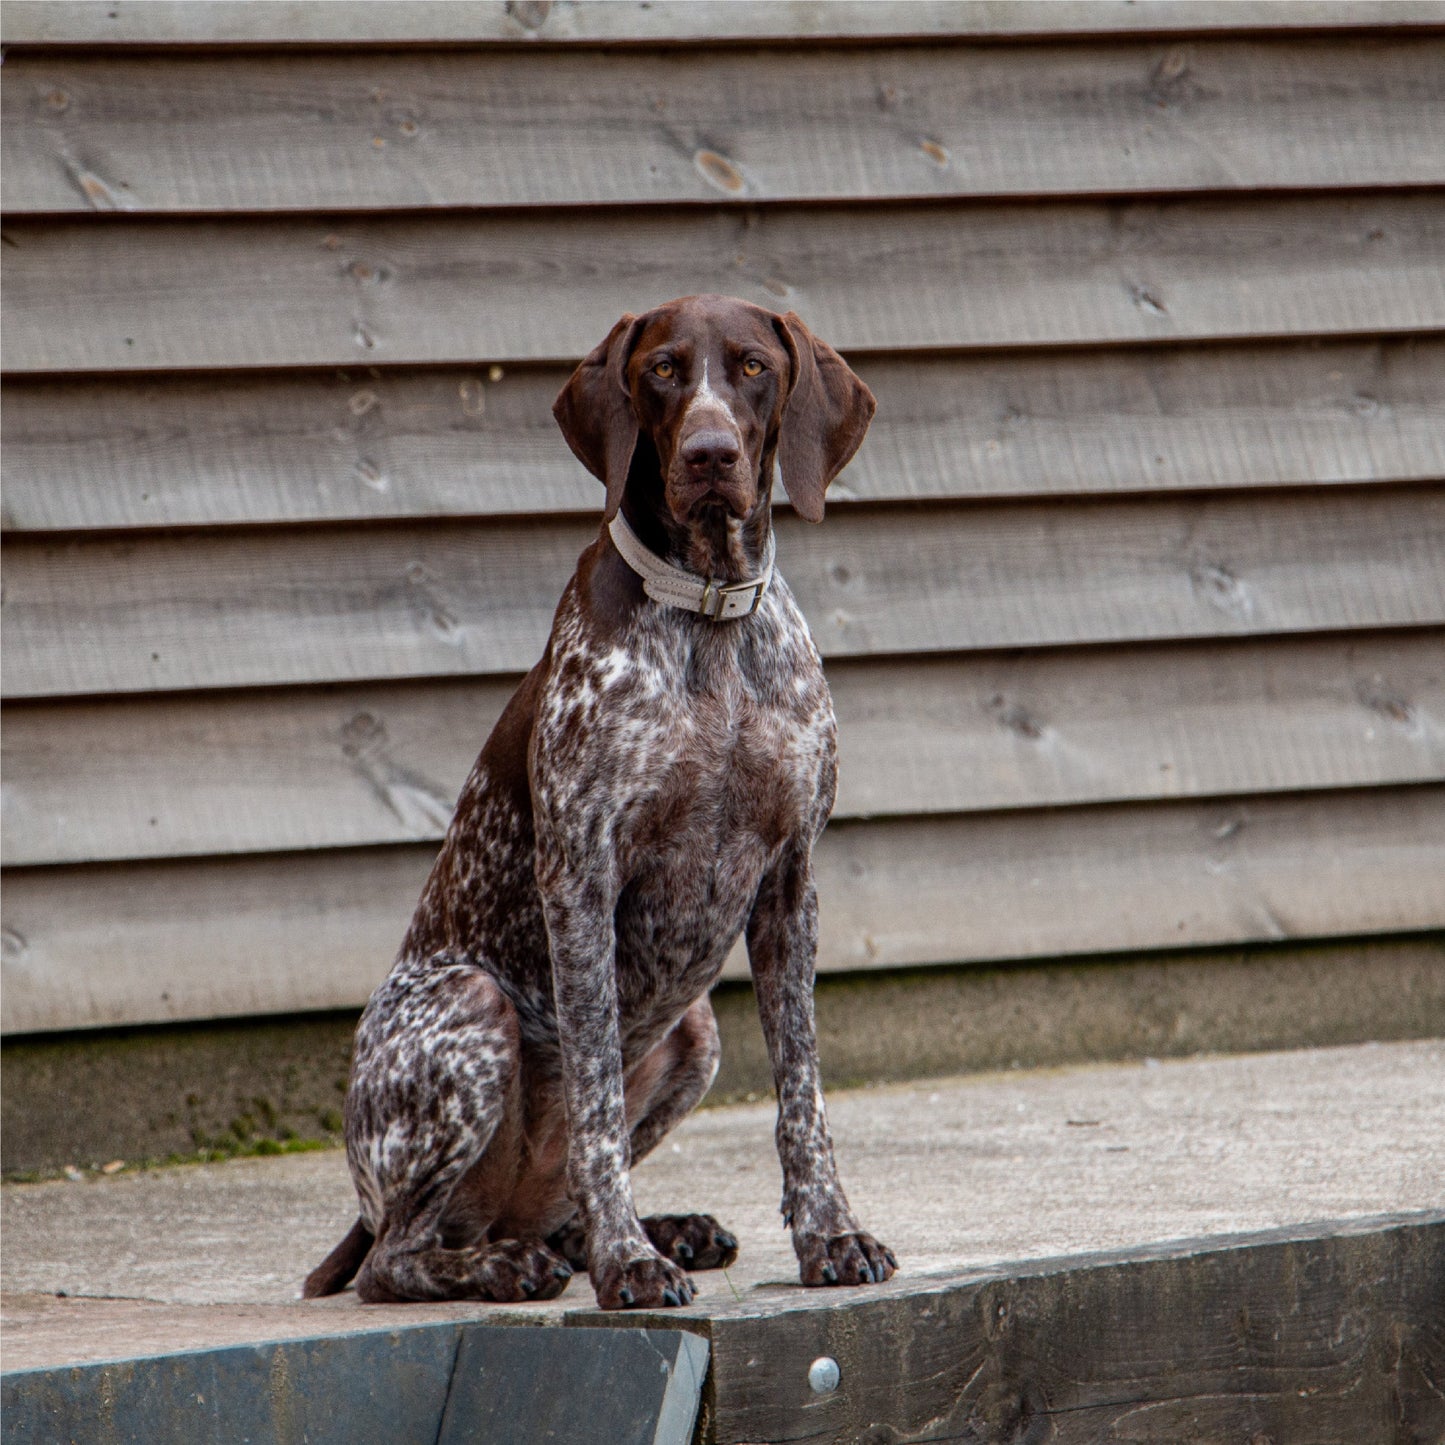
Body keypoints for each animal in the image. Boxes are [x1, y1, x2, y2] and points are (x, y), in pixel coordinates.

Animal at [302, 293, 890, 1312]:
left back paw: (654, 1229)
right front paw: (628, 1262)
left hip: (695, 1030)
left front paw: (830, 1234)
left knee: (544, 1212)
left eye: (751, 367)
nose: (708, 453)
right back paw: (510, 1262)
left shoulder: (789, 882)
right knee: (398, 1257)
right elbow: (596, 1106)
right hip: (467, 1007)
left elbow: (803, 1098)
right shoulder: (581, 878)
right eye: (661, 369)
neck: (706, 615)